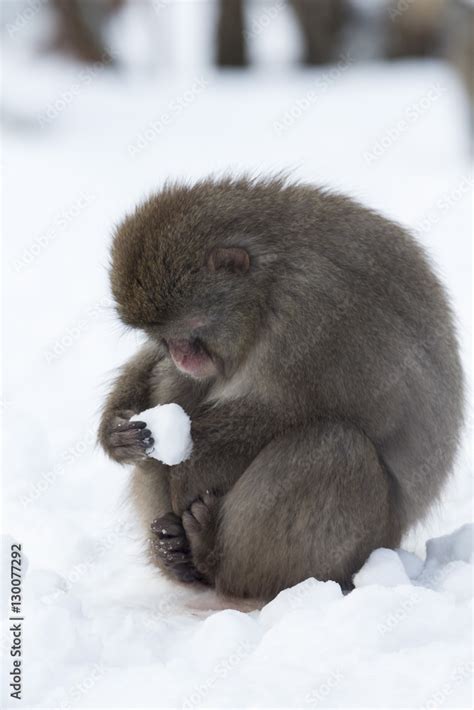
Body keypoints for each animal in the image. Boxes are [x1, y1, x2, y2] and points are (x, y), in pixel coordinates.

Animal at [98, 178, 464, 600]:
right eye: (163, 337)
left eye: (191, 331)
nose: (180, 356)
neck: (269, 287)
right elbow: (159, 372)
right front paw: (115, 431)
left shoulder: (315, 309)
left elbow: (298, 411)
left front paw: (189, 466)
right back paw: (175, 553)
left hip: (367, 541)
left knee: (334, 446)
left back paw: (209, 552)